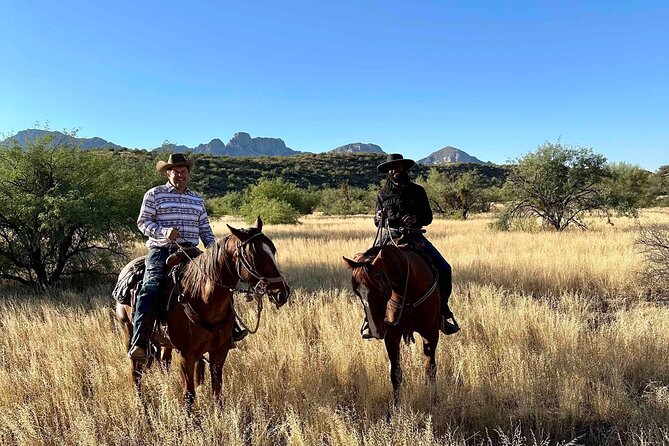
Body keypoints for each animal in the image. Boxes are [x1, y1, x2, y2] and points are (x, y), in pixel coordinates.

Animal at [113, 218, 290, 410]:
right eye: (254, 256)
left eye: (272, 250)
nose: (282, 293)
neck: (202, 298)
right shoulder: (187, 355)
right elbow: (189, 395)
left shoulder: (219, 351)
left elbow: (217, 389)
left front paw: (219, 414)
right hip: (128, 332)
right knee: (136, 372)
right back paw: (141, 405)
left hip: (164, 343)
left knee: (163, 362)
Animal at [342, 244, 440, 404]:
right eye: (357, 292)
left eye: (379, 289)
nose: (374, 330)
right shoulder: (391, 336)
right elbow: (395, 374)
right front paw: (395, 406)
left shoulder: (431, 334)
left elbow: (430, 368)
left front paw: (434, 398)